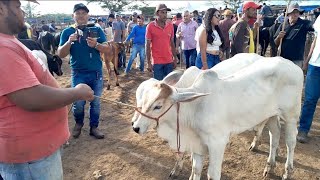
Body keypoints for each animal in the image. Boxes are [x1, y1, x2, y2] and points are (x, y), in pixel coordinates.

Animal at [132, 56, 302, 180]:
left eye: (158, 106)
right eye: (140, 100)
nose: (135, 127)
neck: (195, 108)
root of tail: (293, 66)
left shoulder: (217, 143)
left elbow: (212, 175)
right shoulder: (197, 144)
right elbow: (196, 169)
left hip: (291, 115)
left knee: (290, 142)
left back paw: (287, 171)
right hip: (271, 114)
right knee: (275, 135)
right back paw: (269, 166)